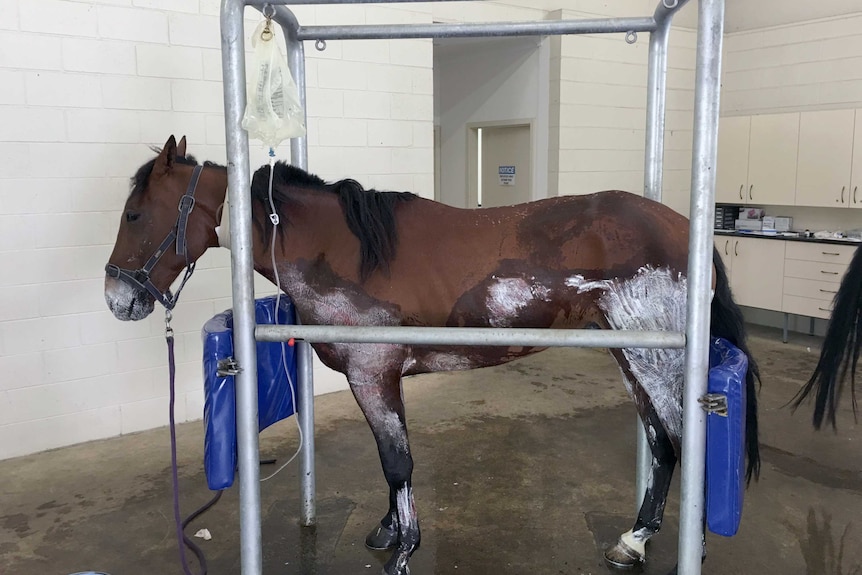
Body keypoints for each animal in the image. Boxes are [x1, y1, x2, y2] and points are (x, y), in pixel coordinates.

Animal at [104, 136, 760, 575]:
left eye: (135, 213)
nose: (118, 298)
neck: (343, 249)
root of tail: (686, 231)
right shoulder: (375, 380)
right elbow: (389, 463)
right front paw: (388, 530)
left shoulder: (375, 376)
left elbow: (398, 463)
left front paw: (404, 549)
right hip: (631, 357)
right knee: (663, 444)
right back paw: (634, 541)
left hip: (654, 359)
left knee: (683, 442)